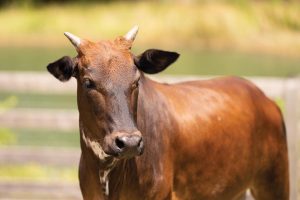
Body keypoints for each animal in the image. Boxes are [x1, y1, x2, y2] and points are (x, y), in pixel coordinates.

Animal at [46, 25, 288, 199]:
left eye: (136, 80)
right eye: (88, 82)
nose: (129, 142)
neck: (106, 173)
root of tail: (264, 98)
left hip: (274, 183)